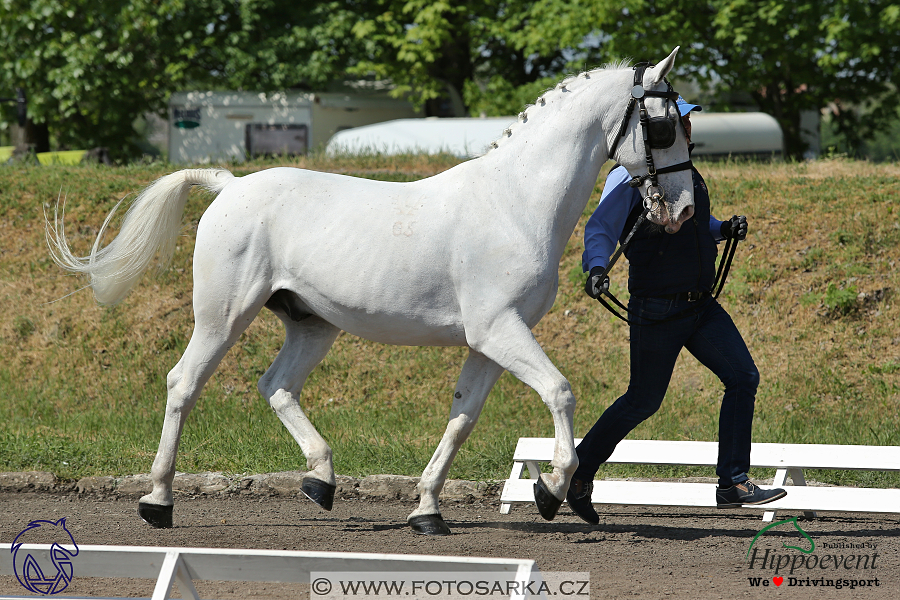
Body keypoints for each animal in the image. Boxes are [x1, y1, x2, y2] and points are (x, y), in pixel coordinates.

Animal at [45, 48, 692, 536]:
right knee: (184, 384)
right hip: (224, 316)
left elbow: (463, 417)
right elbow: (559, 392)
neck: (514, 202)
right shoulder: (498, 329)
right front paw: (550, 488)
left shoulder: (489, 341)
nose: (682, 210)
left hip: (312, 323)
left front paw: (427, 511)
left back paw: (320, 481)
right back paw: (158, 502)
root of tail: (230, 185)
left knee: (276, 386)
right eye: (663, 126)